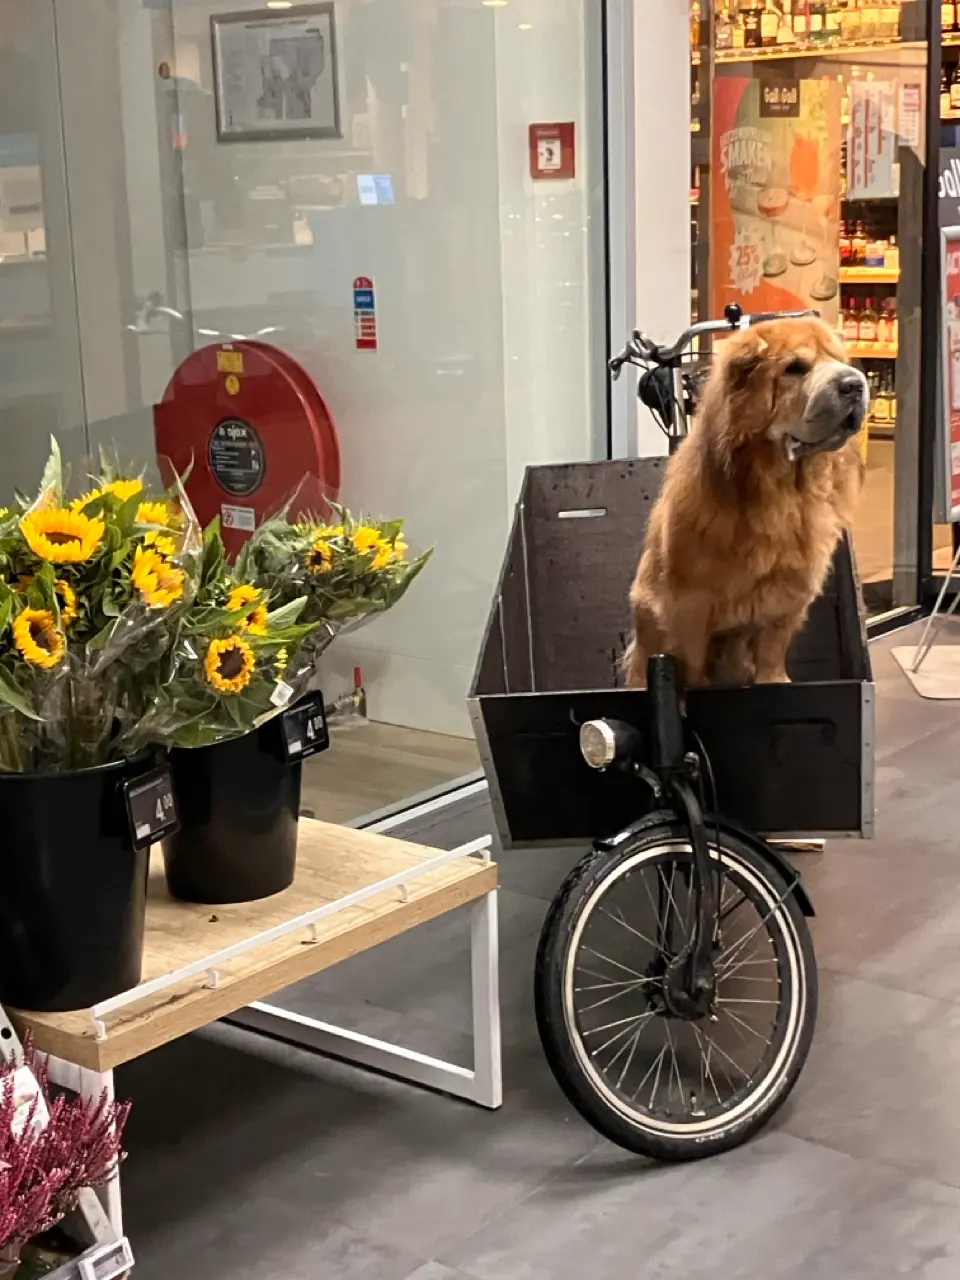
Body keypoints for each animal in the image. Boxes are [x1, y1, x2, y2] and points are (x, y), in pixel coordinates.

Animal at [625, 316, 867, 689]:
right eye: (795, 368)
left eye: (840, 360)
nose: (854, 384)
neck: (782, 491)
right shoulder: (689, 606)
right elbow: (691, 665)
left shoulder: (786, 599)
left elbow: (771, 654)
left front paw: (774, 680)